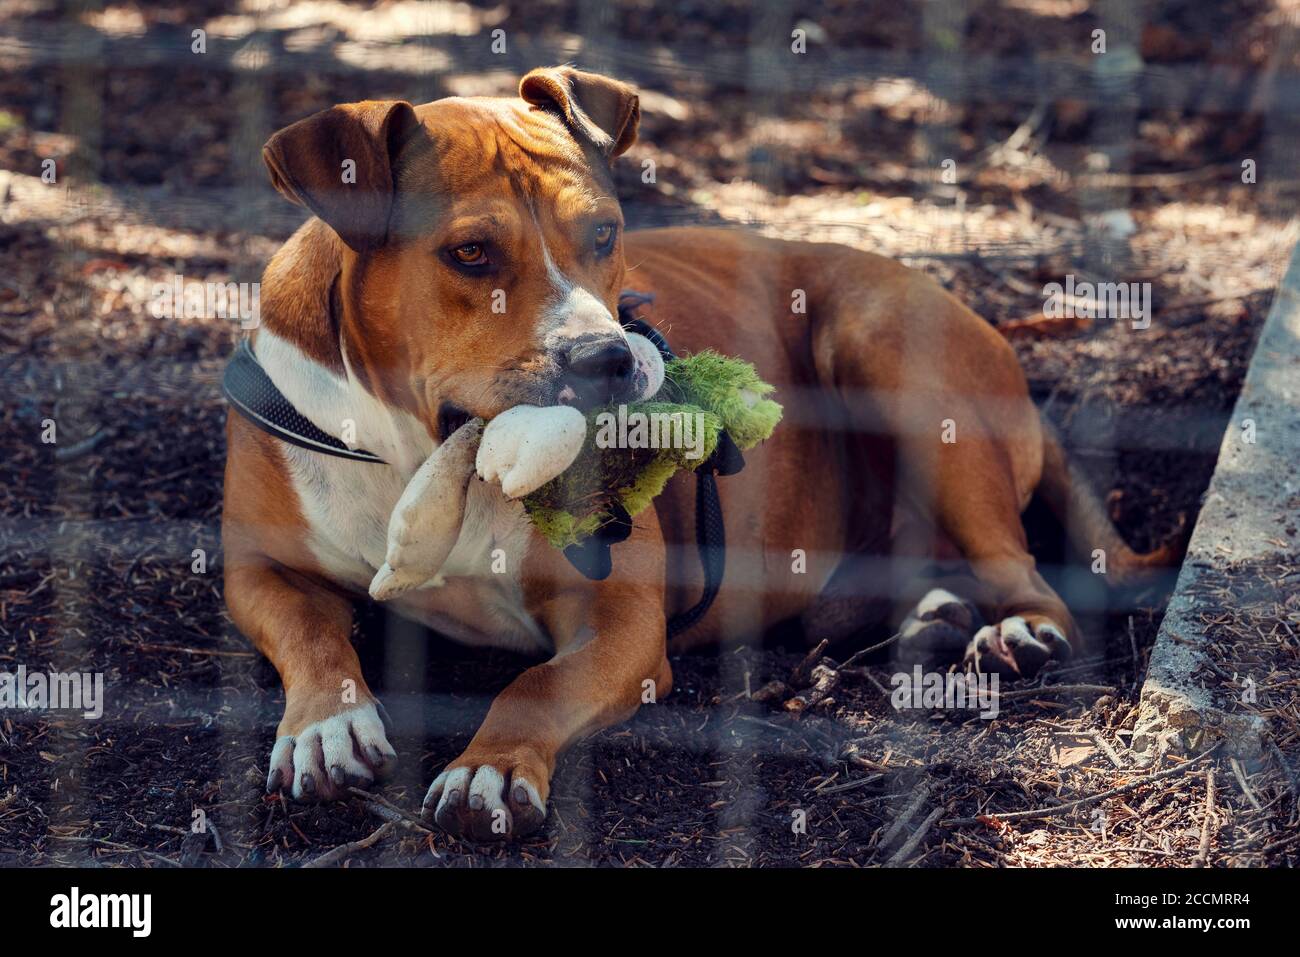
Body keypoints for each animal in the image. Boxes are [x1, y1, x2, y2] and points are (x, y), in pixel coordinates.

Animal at [218, 65, 1175, 837]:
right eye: (470, 252)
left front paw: (489, 766)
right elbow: (309, 628)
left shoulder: (621, 621)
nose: (606, 357)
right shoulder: (257, 568)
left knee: (1022, 564)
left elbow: (534, 685)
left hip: (890, 348)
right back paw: (932, 614)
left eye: (605, 234)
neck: (423, 451)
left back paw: (1018, 628)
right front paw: (325, 725)